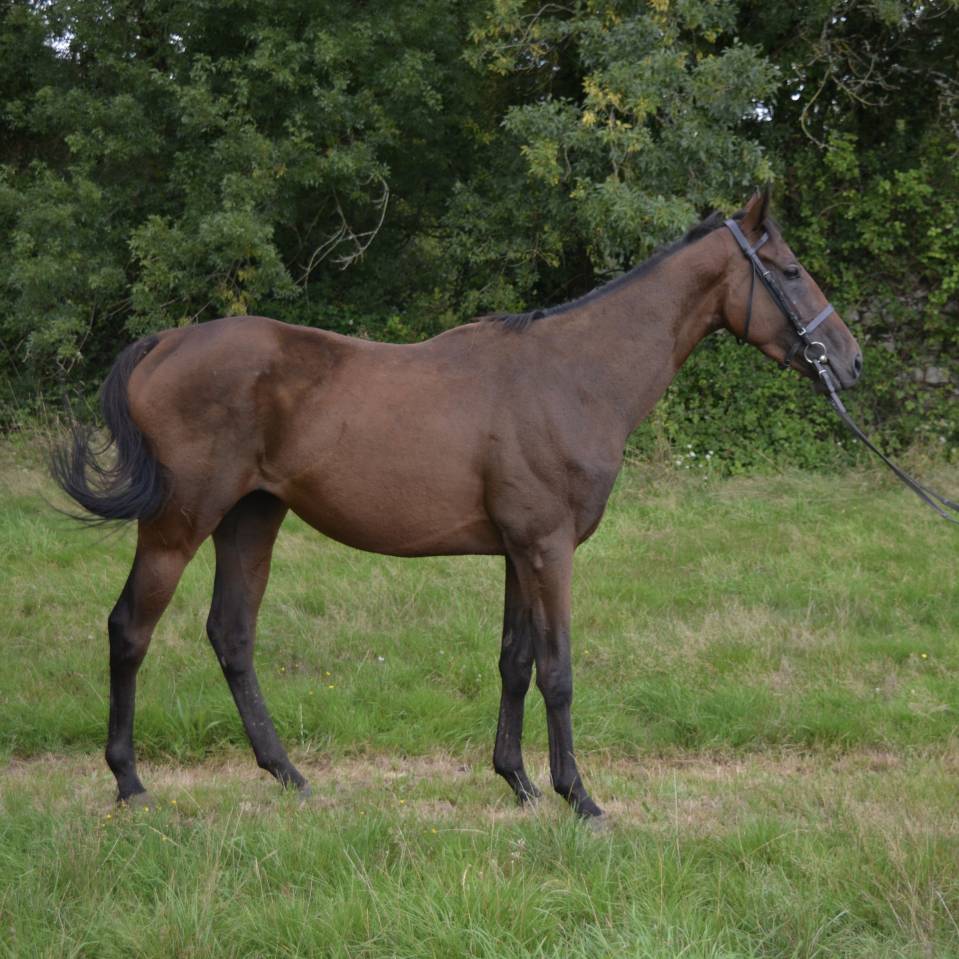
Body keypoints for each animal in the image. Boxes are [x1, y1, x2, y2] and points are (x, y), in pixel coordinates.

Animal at [52, 191, 862, 817]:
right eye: (790, 271)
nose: (850, 361)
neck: (575, 375)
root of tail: (164, 343)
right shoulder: (548, 548)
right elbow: (558, 670)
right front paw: (579, 797)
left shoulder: (519, 551)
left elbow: (514, 661)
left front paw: (520, 783)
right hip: (178, 523)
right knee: (130, 630)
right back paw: (130, 783)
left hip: (251, 519)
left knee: (232, 636)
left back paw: (289, 776)